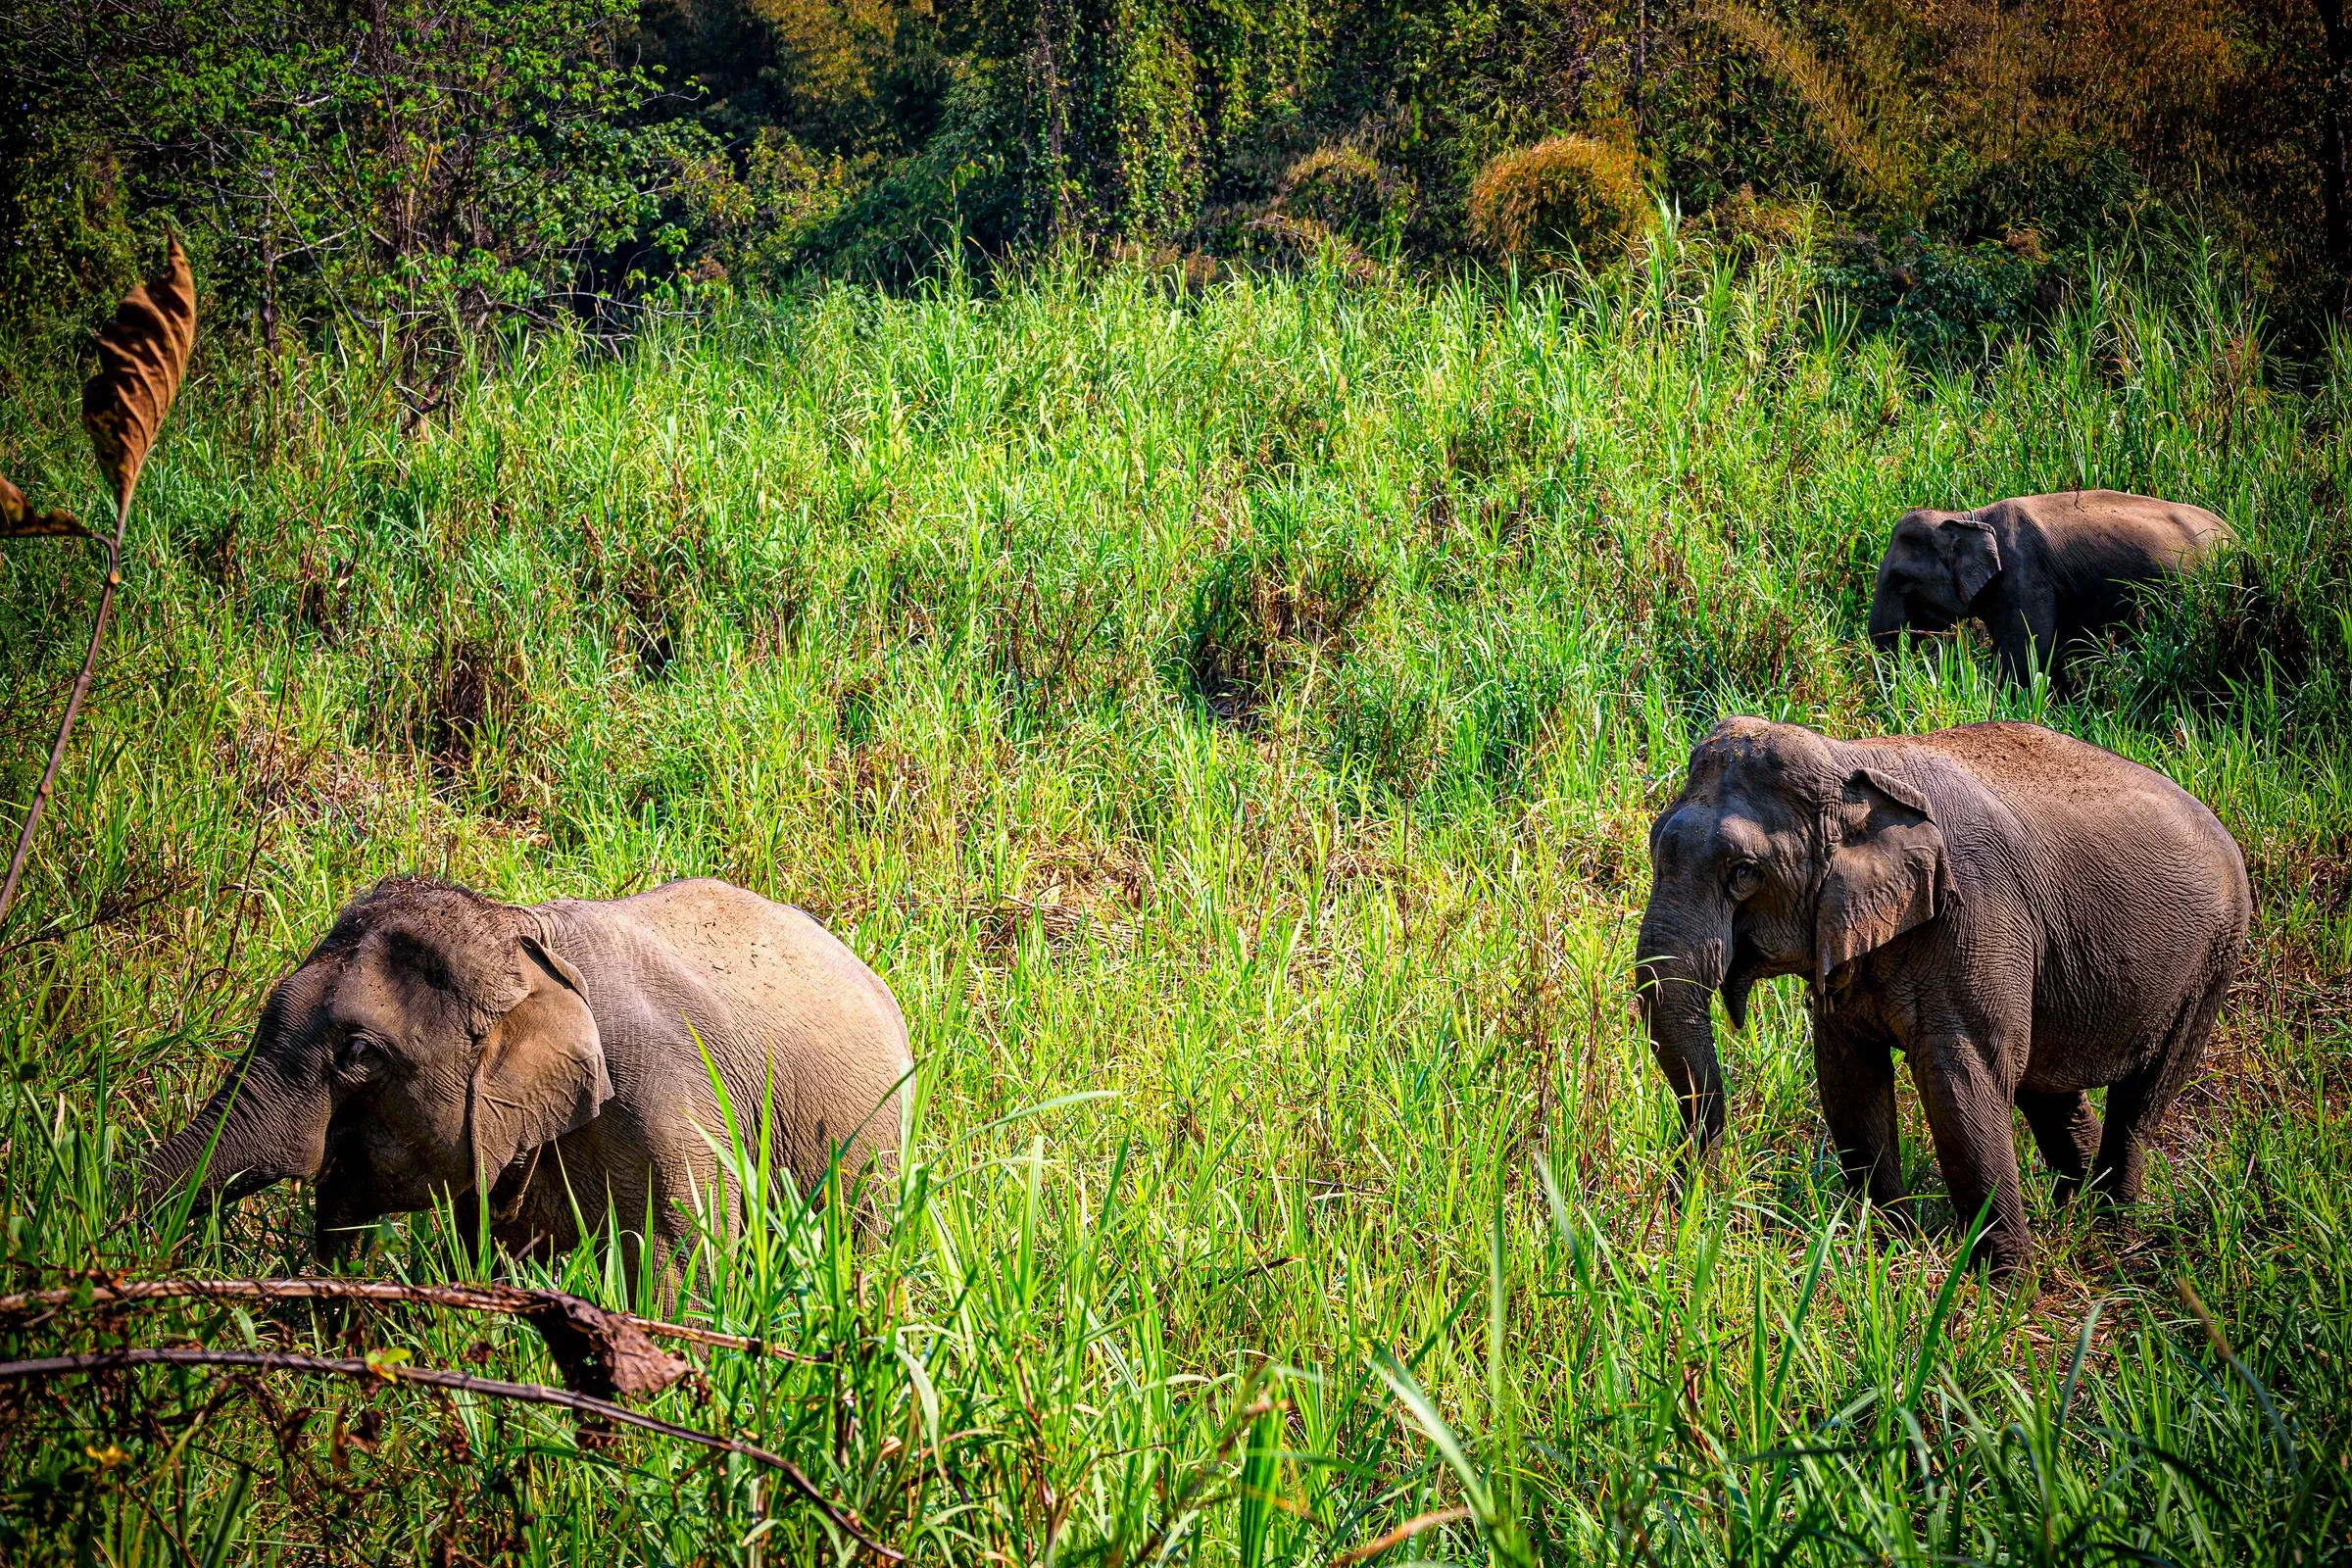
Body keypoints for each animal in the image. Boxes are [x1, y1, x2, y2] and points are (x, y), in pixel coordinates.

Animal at [1633, 716, 2247, 1277]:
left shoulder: (1978, 916)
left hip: (2213, 960)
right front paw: (1889, 1246)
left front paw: (2002, 1292)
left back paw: (2114, 1228)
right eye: (1653, 846)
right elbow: (1848, 1077)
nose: (1685, 1209)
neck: (1850, 760)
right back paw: (2078, 1216)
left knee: (2140, 1098)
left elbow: (1960, 1084)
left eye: (1743, 872)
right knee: (2048, 1092)